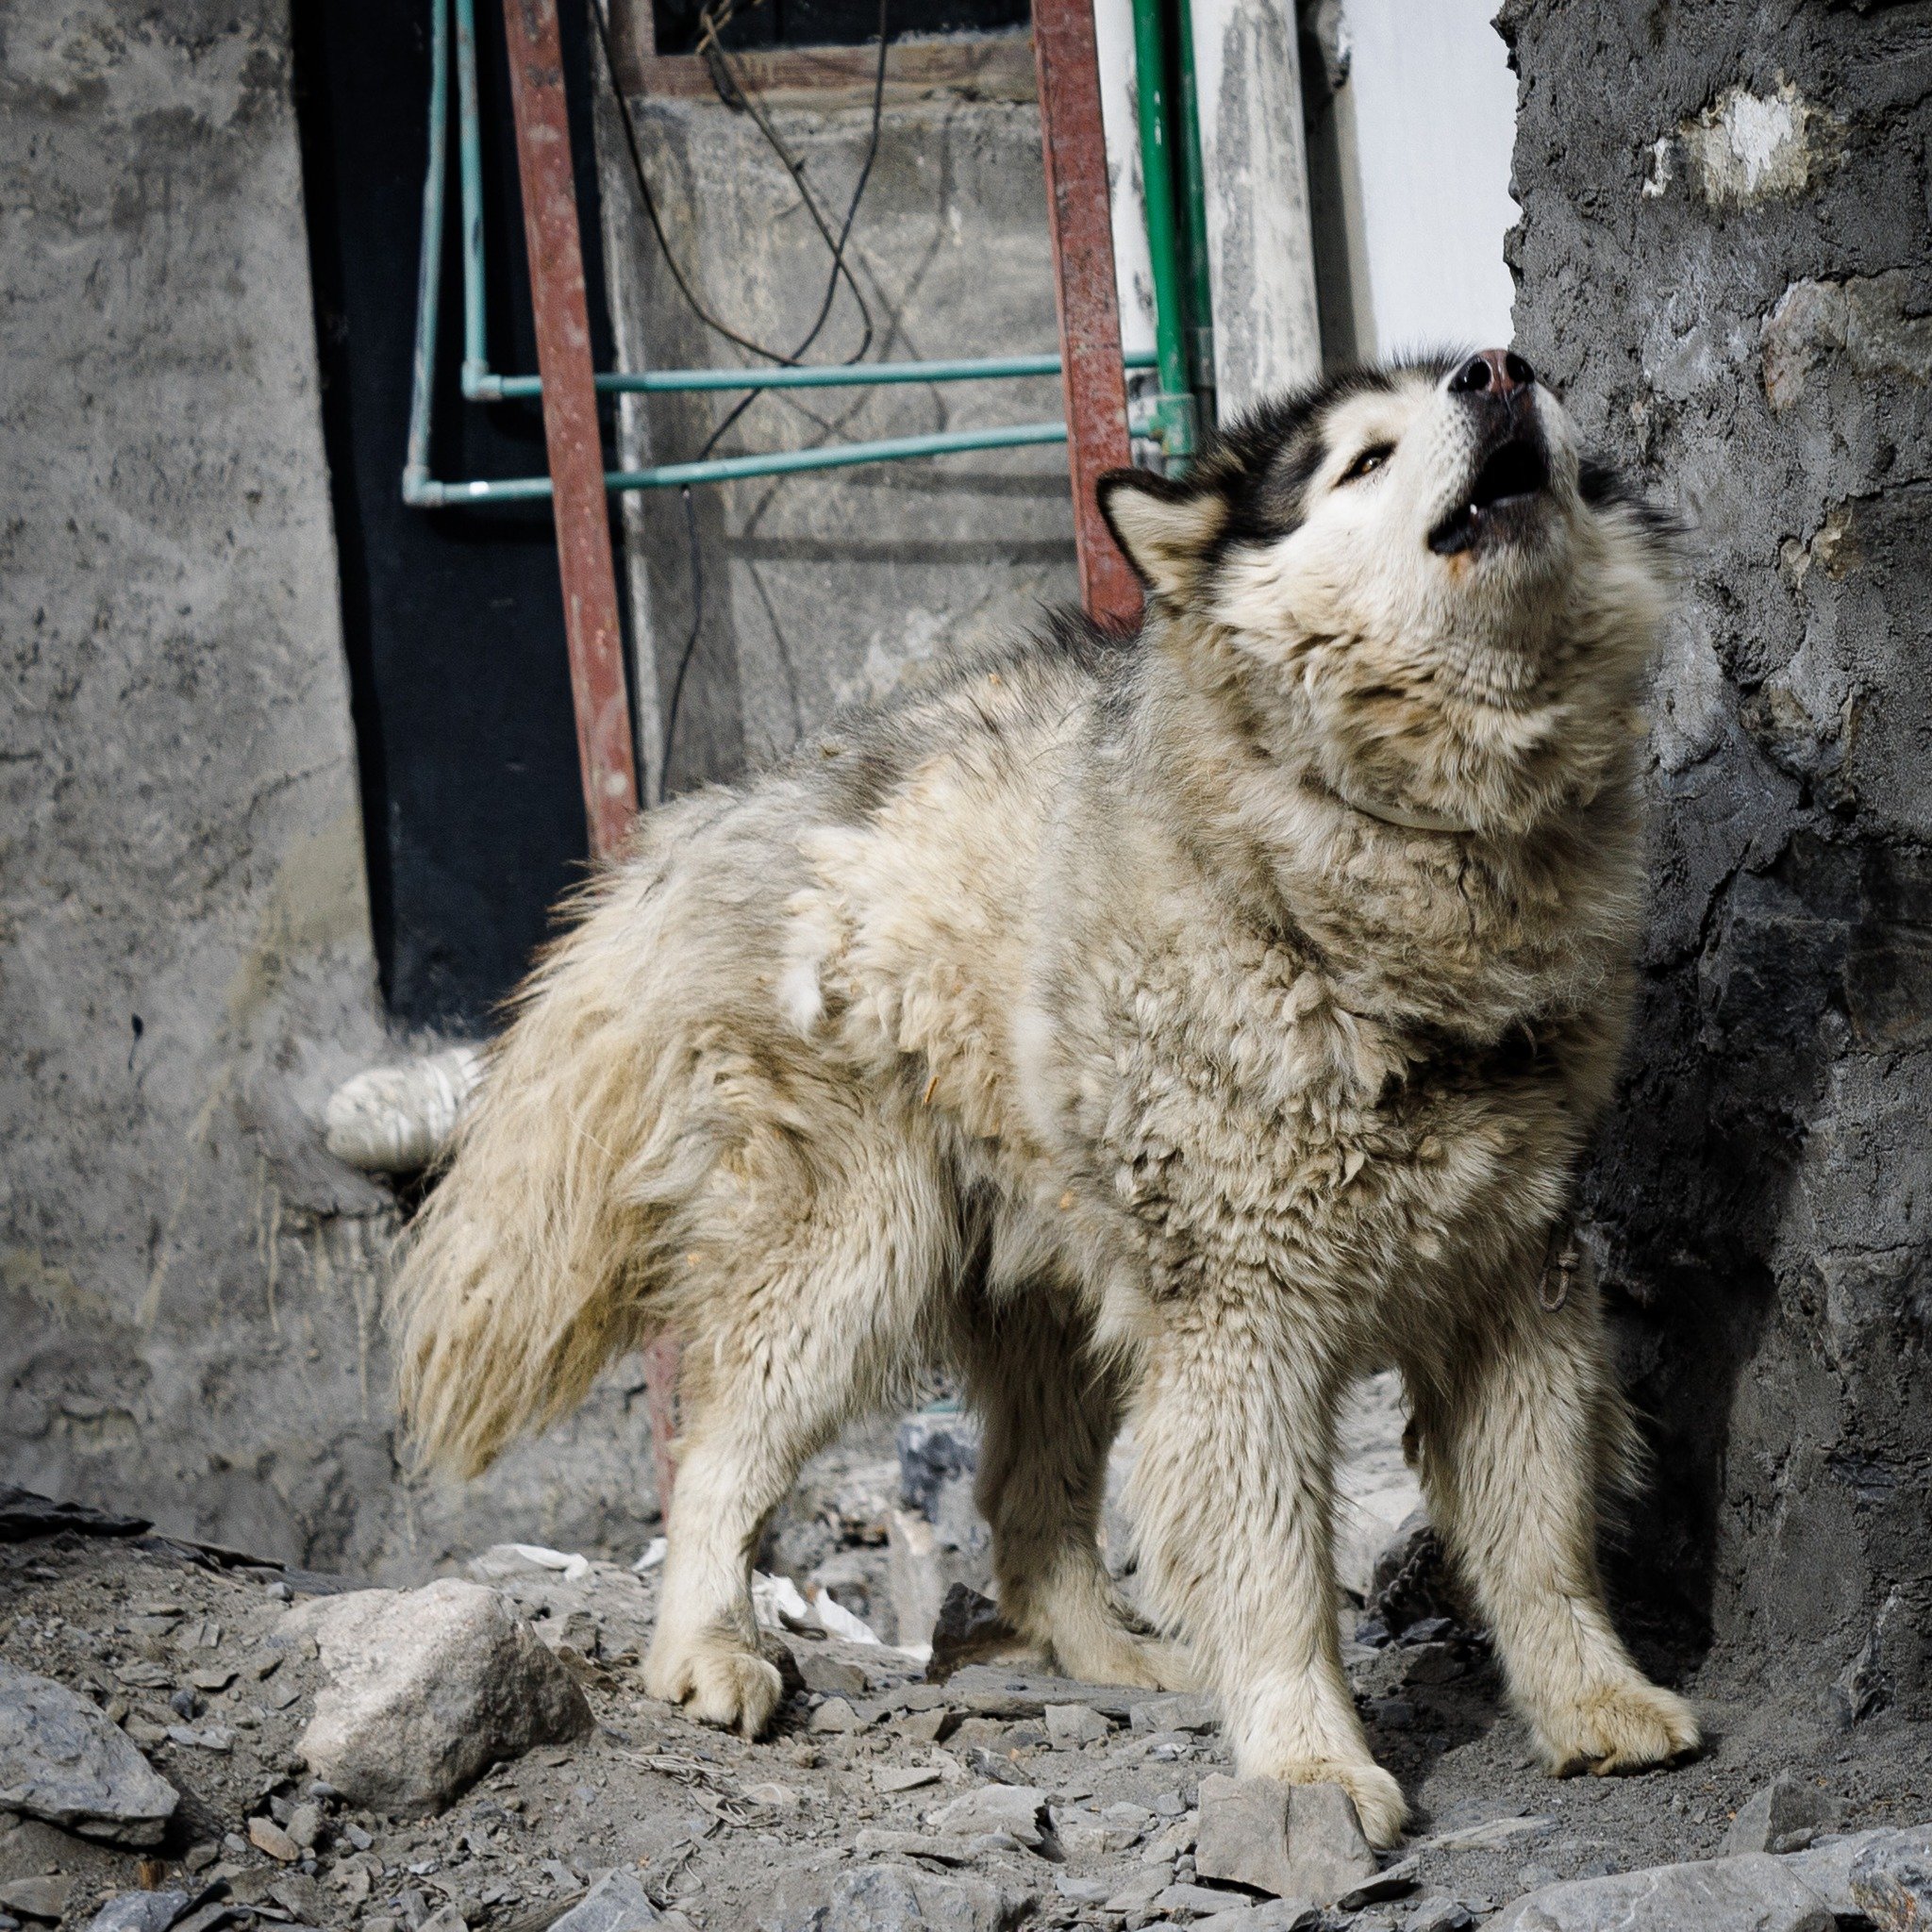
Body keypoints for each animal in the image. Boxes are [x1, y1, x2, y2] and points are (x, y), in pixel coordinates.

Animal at [391, 351, 1692, 1839]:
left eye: (1496, 374)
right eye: (1361, 460)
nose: (1500, 368)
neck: (1389, 856)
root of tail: (763, 796)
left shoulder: (1517, 1286)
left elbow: (1542, 1537)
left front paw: (1592, 1701)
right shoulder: (1240, 1326)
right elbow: (1277, 1575)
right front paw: (1307, 1767)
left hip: (1063, 1281)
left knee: (1024, 1502)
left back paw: (1113, 1653)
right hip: (855, 1256)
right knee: (719, 1454)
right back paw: (706, 1646)